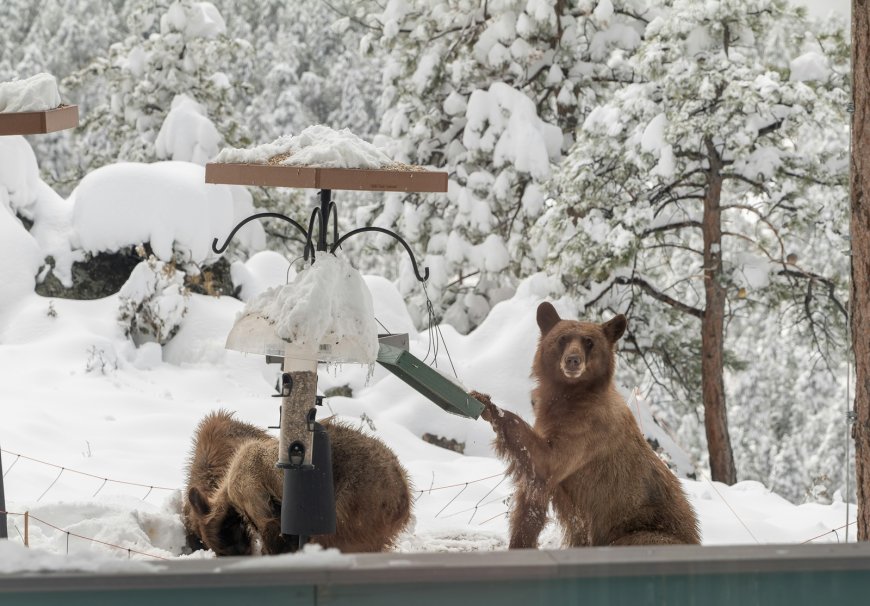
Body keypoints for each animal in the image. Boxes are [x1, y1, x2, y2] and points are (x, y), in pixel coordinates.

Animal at [185, 418, 416, 556]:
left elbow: (273, 529)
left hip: (358, 500)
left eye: (224, 542)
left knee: (334, 536)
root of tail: (403, 498)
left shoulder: (252, 489)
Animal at [470, 304, 700, 552]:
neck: (571, 396)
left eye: (589, 341)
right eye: (562, 338)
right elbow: (529, 505)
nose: (573, 360)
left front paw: (490, 406)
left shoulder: (589, 431)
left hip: (645, 530)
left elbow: (548, 460)